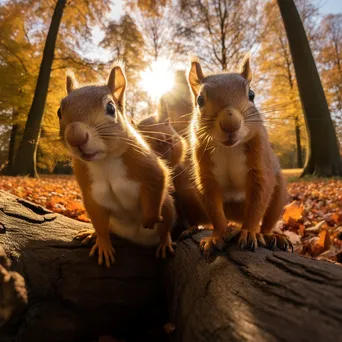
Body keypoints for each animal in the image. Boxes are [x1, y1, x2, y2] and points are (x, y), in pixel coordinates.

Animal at [57, 64, 175, 268]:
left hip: (168, 206)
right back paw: (91, 234)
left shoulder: (147, 164)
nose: (75, 137)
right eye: (59, 112)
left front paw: (150, 218)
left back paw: (164, 243)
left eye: (111, 108)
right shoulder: (90, 193)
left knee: (166, 227)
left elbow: (158, 179)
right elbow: (99, 222)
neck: (104, 161)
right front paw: (102, 243)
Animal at [187, 54, 292, 255]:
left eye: (251, 95)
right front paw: (217, 236)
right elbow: (214, 208)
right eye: (200, 100)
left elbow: (258, 199)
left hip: (278, 195)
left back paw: (271, 236)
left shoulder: (260, 164)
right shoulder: (205, 175)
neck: (229, 148)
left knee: (266, 222)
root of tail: (236, 217)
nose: (231, 124)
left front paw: (249, 233)